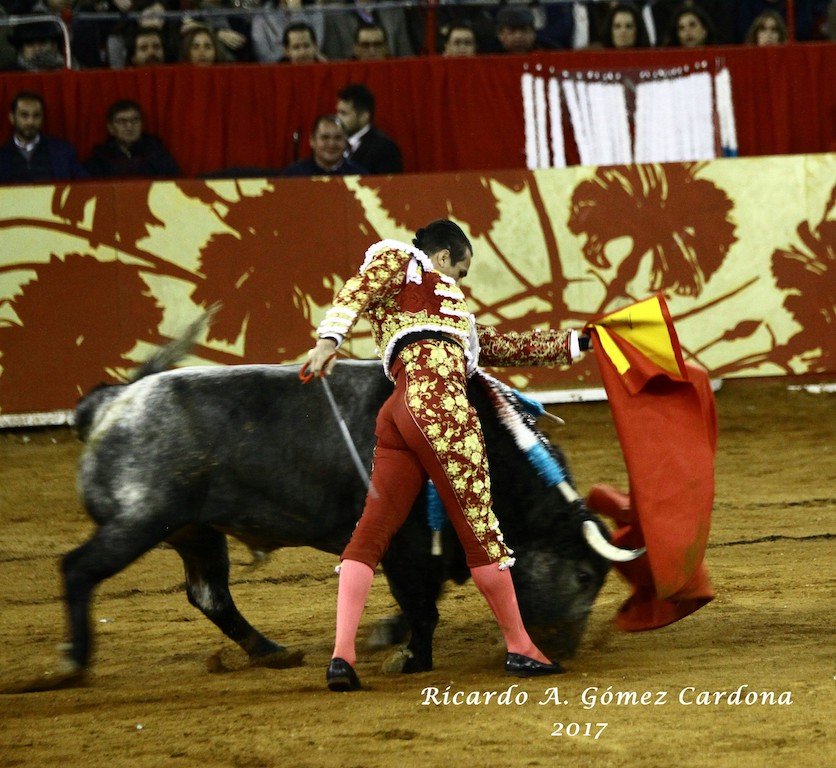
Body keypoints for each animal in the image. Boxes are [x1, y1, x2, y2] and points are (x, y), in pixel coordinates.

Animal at [55, 319, 634, 686]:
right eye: (584, 576)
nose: (562, 650)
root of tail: (112, 402)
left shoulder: (430, 551)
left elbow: (424, 601)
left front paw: (388, 639)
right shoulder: (406, 547)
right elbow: (422, 607)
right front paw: (407, 657)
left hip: (196, 531)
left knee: (209, 594)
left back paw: (271, 652)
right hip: (139, 521)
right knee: (79, 570)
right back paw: (70, 664)